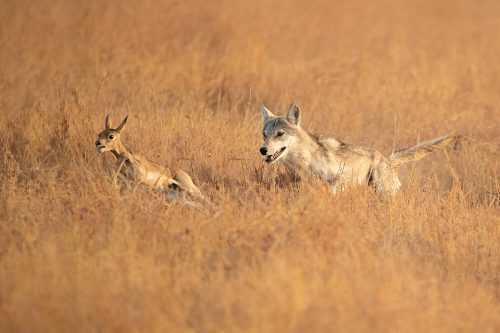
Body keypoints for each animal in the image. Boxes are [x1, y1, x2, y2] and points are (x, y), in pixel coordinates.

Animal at [260, 104, 458, 195]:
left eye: (279, 134)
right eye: (264, 134)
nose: (262, 150)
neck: (304, 162)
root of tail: (386, 158)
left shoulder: (342, 178)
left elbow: (333, 190)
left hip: (382, 190)